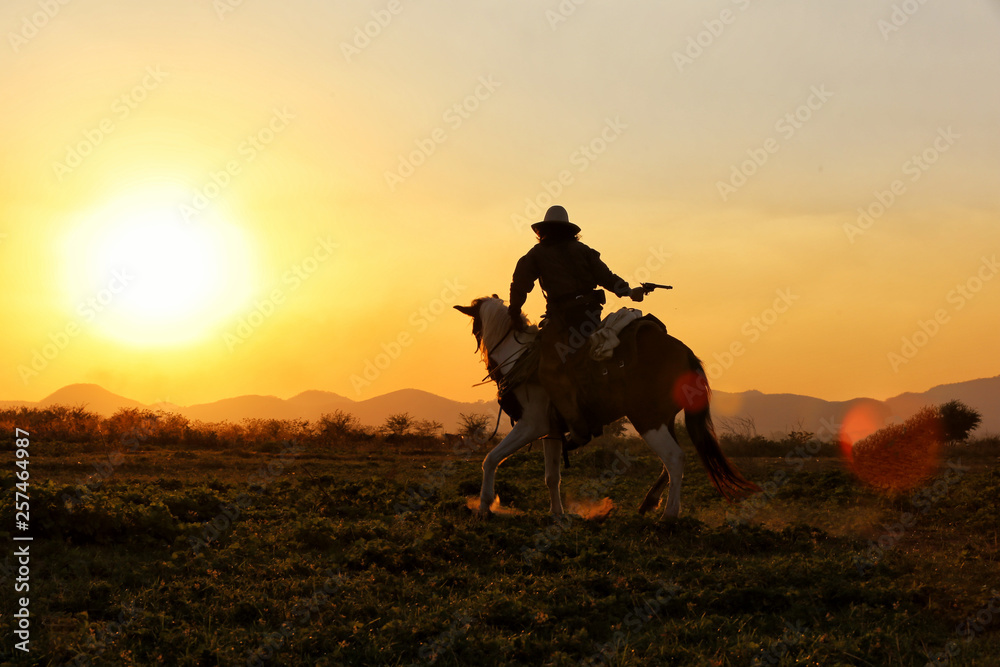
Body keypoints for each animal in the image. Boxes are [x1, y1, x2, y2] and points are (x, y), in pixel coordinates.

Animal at [454, 296, 756, 520]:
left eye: (474, 325)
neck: (519, 358)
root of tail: (685, 353)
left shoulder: (531, 424)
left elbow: (490, 459)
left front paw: (484, 506)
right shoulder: (551, 431)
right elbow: (552, 476)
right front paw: (557, 513)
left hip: (648, 419)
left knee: (674, 458)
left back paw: (669, 515)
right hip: (664, 419)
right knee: (670, 462)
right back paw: (650, 503)